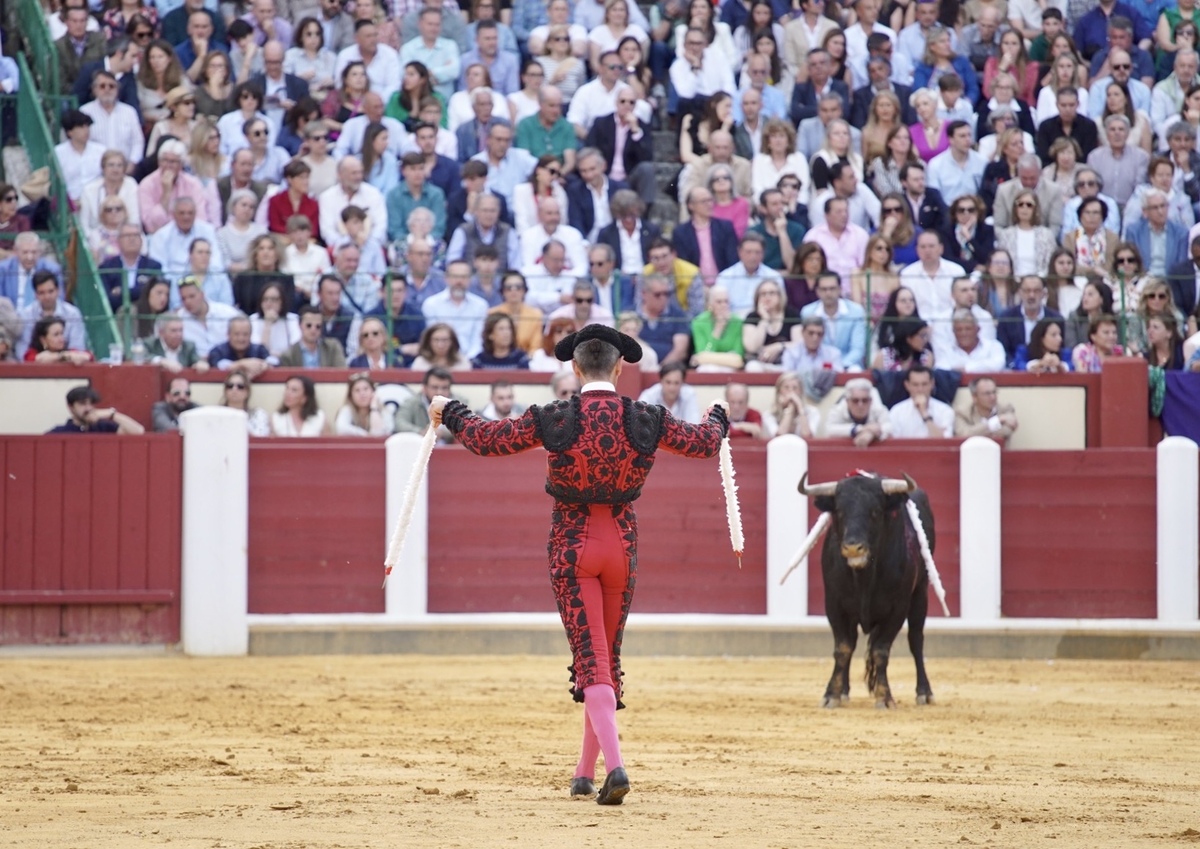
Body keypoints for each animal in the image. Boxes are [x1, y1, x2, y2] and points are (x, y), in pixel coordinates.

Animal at [796, 470, 936, 709]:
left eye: (876, 511)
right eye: (839, 511)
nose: (853, 548)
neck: (864, 577)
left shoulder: (898, 608)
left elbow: (881, 650)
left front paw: (885, 698)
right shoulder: (834, 604)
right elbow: (843, 648)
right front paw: (832, 695)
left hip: (921, 592)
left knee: (916, 639)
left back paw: (924, 693)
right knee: (851, 643)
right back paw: (844, 691)